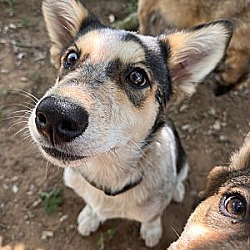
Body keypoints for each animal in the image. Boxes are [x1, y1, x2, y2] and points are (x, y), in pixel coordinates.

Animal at [28, 0, 232, 246]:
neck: (108, 178)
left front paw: (152, 231)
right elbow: (91, 206)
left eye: (137, 77)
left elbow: (152, 217)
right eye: (71, 58)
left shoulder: (155, 205)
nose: (55, 113)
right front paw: (90, 216)